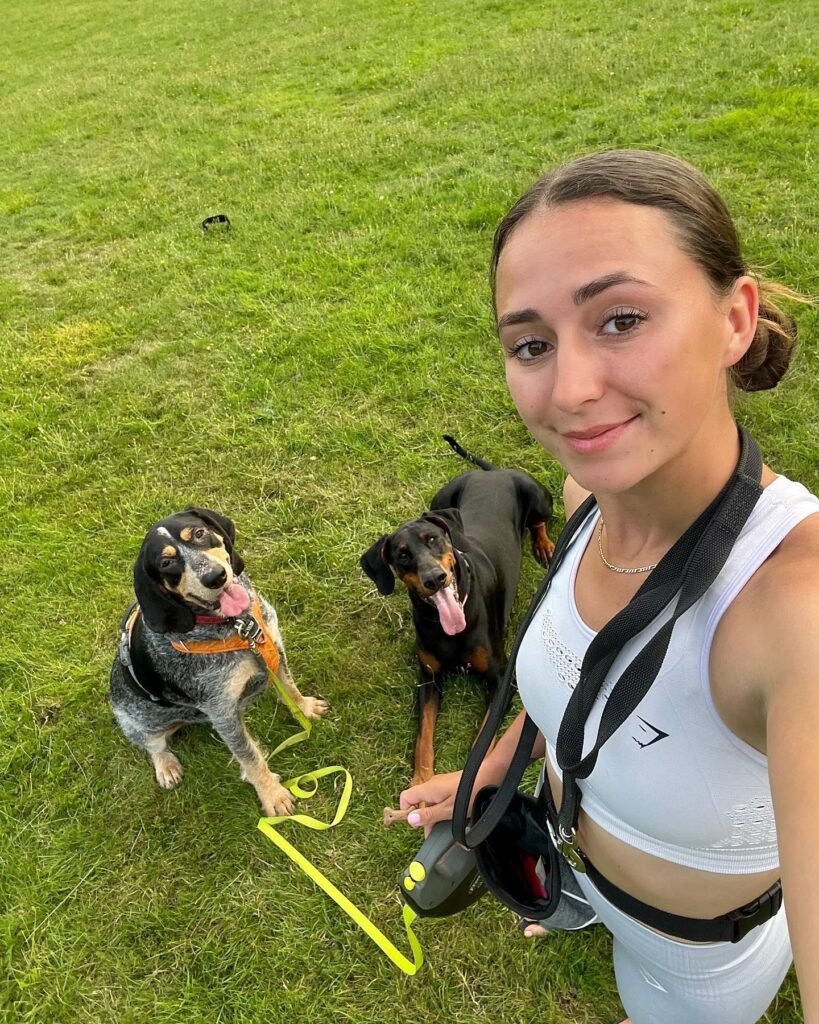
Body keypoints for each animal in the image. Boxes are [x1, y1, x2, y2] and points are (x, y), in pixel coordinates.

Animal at [110, 507, 327, 817]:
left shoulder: (274, 650)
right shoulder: (221, 711)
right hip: (137, 721)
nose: (215, 577)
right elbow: (250, 756)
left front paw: (305, 708)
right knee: (153, 745)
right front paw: (272, 795)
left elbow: (290, 688)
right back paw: (166, 766)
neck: (235, 625)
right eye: (166, 562)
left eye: (199, 534)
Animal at [360, 437, 554, 790]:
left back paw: (545, 544)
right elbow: (423, 736)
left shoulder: (502, 681)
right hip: (440, 497)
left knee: (539, 520)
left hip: (537, 497)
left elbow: (481, 742)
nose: (434, 578)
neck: (446, 627)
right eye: (402, 555)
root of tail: (493, 472)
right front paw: (421, 782)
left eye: (433, 539)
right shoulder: (429, 678)